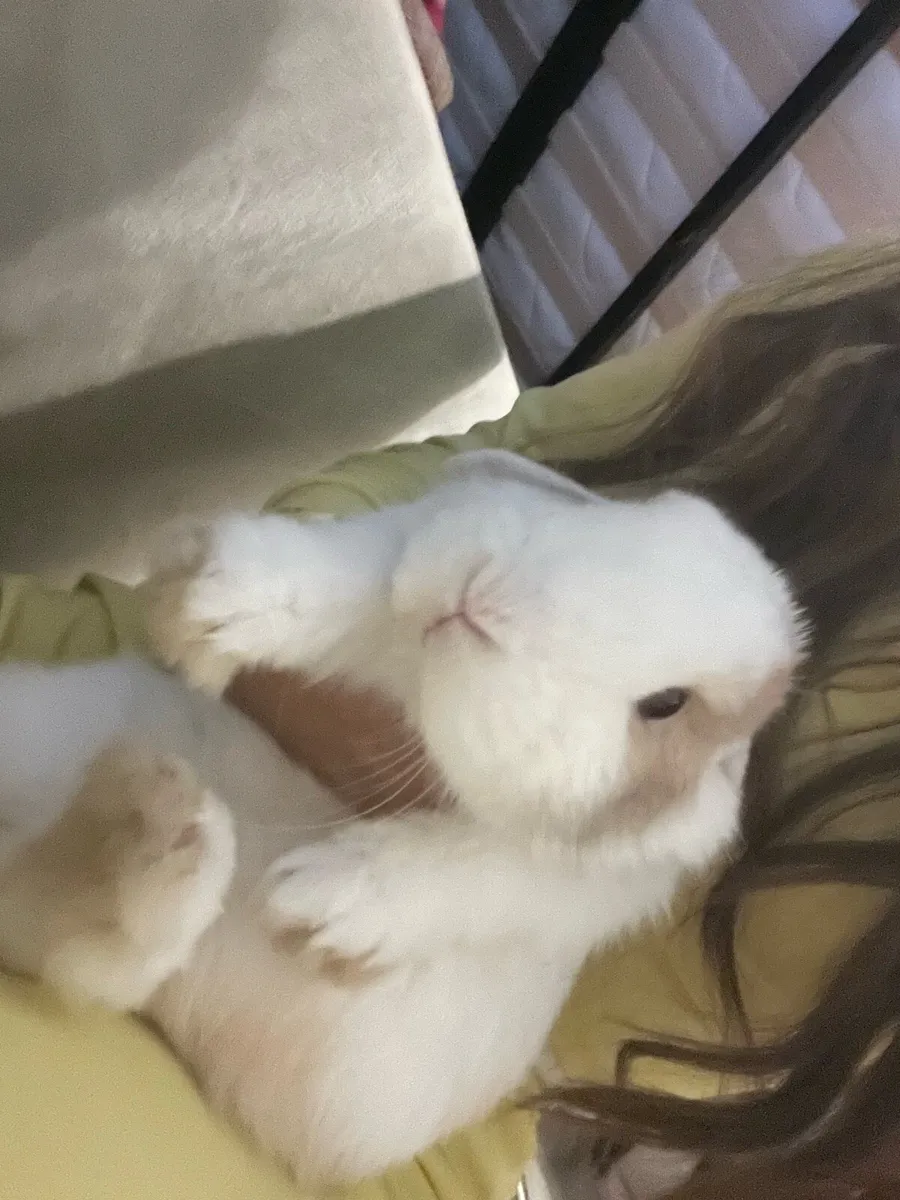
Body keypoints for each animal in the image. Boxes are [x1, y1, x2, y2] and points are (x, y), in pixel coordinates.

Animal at [0, 451, 803, 1183]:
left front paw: (318, 904)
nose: (479, 599)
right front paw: (208, 605)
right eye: (622, 521)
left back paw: (156, 835)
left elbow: (480, 868)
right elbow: (350, 581)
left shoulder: (601, 879)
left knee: (90, 947)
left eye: (666, 705)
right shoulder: (400, 546)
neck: (421, 679)